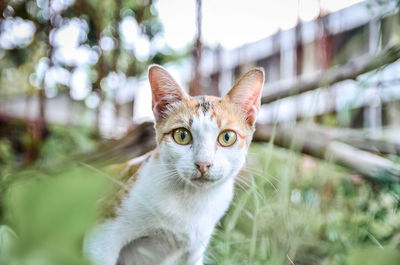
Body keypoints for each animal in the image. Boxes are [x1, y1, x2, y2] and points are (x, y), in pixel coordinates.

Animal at [84, 64, 264, 264]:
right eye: (182, 135)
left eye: (227, 137)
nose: (203, 164)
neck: (191, 201)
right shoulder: (103, 237)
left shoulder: (194, 251)